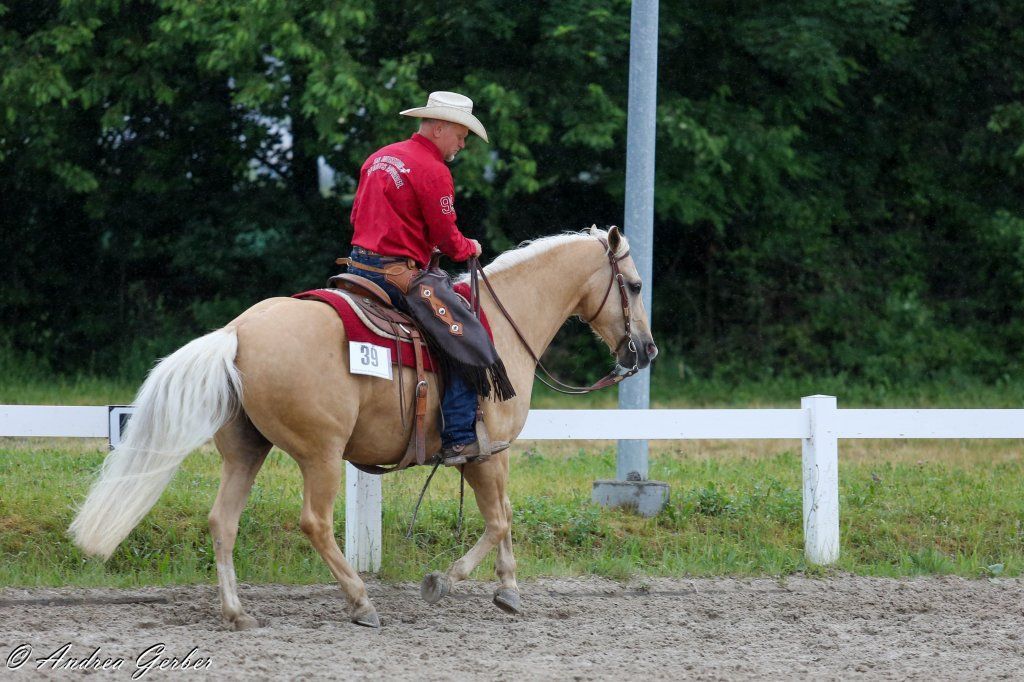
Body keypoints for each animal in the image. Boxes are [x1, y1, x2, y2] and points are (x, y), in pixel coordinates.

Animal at [69, 225, 658, 630]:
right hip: (321, 455)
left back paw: (238, 612)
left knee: (222, 522)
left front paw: (509, 590)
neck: (502, 324)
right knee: (316, 523)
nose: (646, 350)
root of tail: (236, 333)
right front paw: (442, 581)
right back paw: (360, 601)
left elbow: (504, 516)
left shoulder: (490, 455)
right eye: (634, 284)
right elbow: (496, 520)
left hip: (246, 451)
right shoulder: (484, 451)